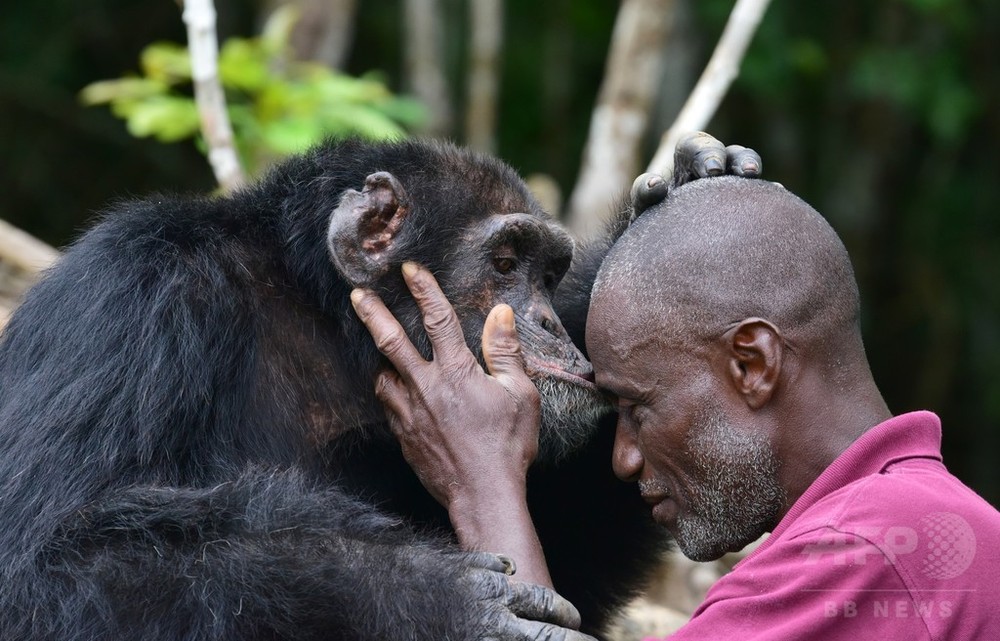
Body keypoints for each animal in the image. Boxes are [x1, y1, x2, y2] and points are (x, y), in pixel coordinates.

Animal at [0, 136, 756, 640]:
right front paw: (443, 600)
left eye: (549, 273)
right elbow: (42, 563)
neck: (328, 324)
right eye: (505, 262)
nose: (546, 319)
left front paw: (689, 187)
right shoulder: (131, 303)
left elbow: (570, 559)